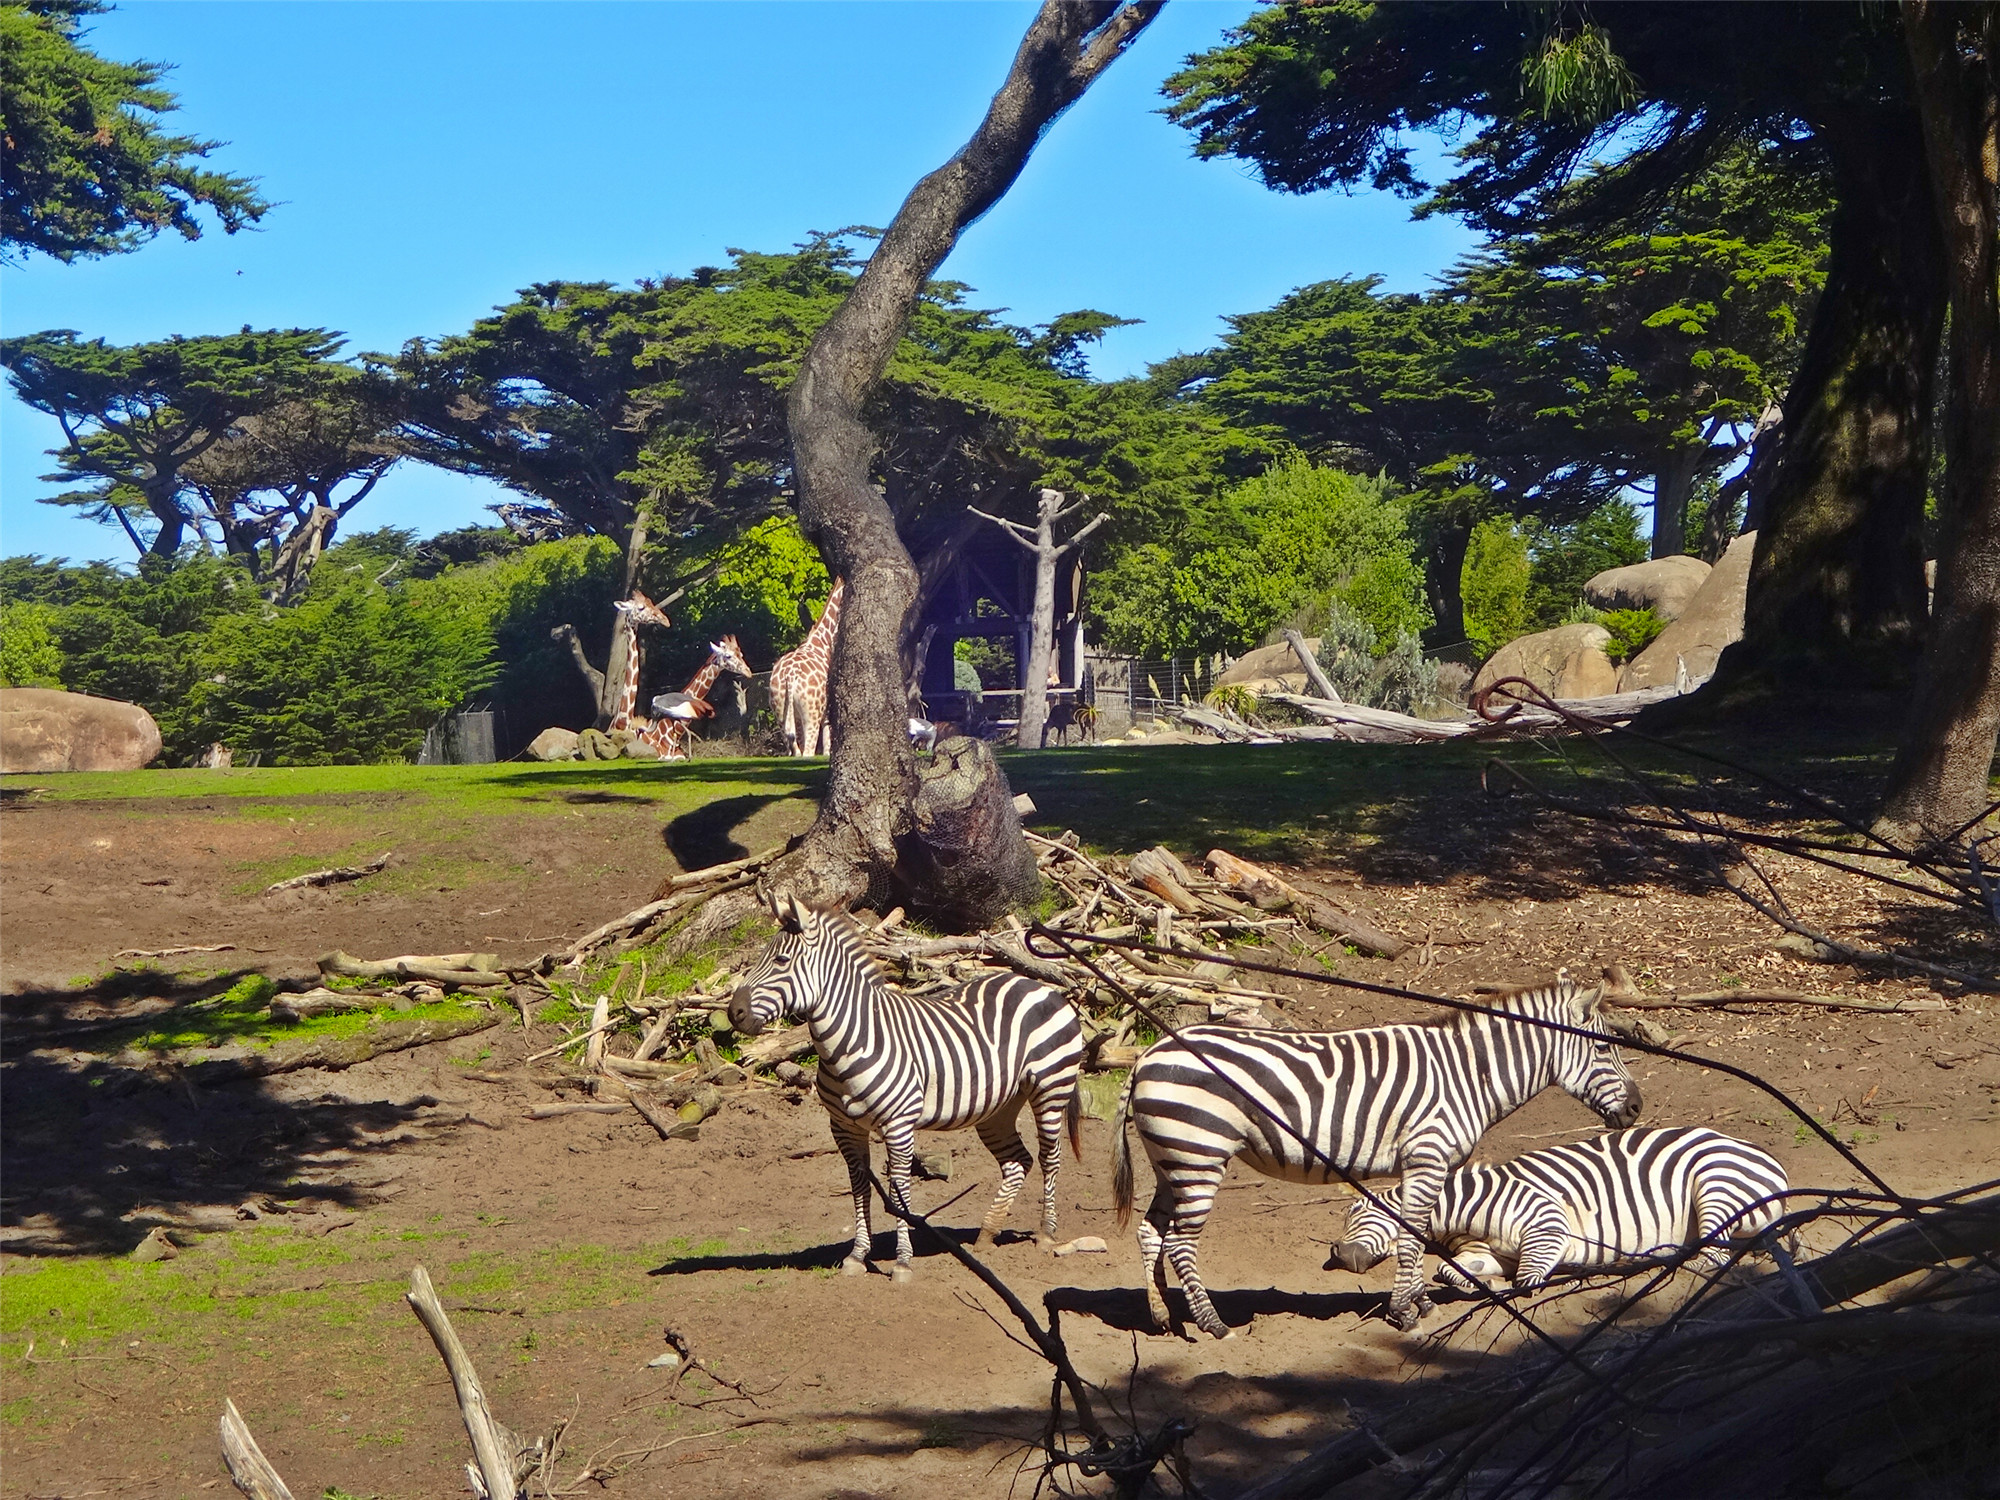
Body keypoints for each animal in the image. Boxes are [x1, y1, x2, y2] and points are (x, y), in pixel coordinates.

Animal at [732, 900, 1088, 1288]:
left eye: (781, 961)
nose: (733, 1013)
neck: (854, 1039)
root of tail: (1036, 984)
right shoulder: (843, 1128)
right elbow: (860, 1186)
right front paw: (858, 1255)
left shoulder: (898, 1125)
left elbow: (899, 1190)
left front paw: (902, 1262)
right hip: (998, 1107)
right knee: (1017, 1161)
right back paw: (986, 1235)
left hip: (1051, 1086)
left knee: (1049, 1159)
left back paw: (1046, 1234)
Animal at [768, 580, 840, 756]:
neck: (824, 641)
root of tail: (790, 676)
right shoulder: (827, 712)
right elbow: (827, 748)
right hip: (811, 714)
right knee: (808, 751)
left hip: (781, 711)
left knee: (795, 751)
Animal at [1112, 988, 1640, 1336]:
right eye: (1603, 1047)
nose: (1637, 1108)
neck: (1469, 1075)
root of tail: (1146, 1055)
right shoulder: (1428, 1155)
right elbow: (1412, 1237)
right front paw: (1405, 1312)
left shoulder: (1426, 1165)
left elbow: (1418, 1234)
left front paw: (1419, 1303)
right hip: (1198, 1155)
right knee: (1180, 1243)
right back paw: (1213, 1324)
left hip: (1171, 1161)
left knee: (1150, 1233)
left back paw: (1162, 1317)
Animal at [1336, 1128, 1792, 1296]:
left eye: (1358, 1212)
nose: (1337, 1254)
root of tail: (1770, 1161)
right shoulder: (1490, 1252)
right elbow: (1451, 1271)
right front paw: (1480, 1284)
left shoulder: (1547, 1224)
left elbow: (1527, 1279)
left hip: (1713, 1183)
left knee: (1710, 1255)